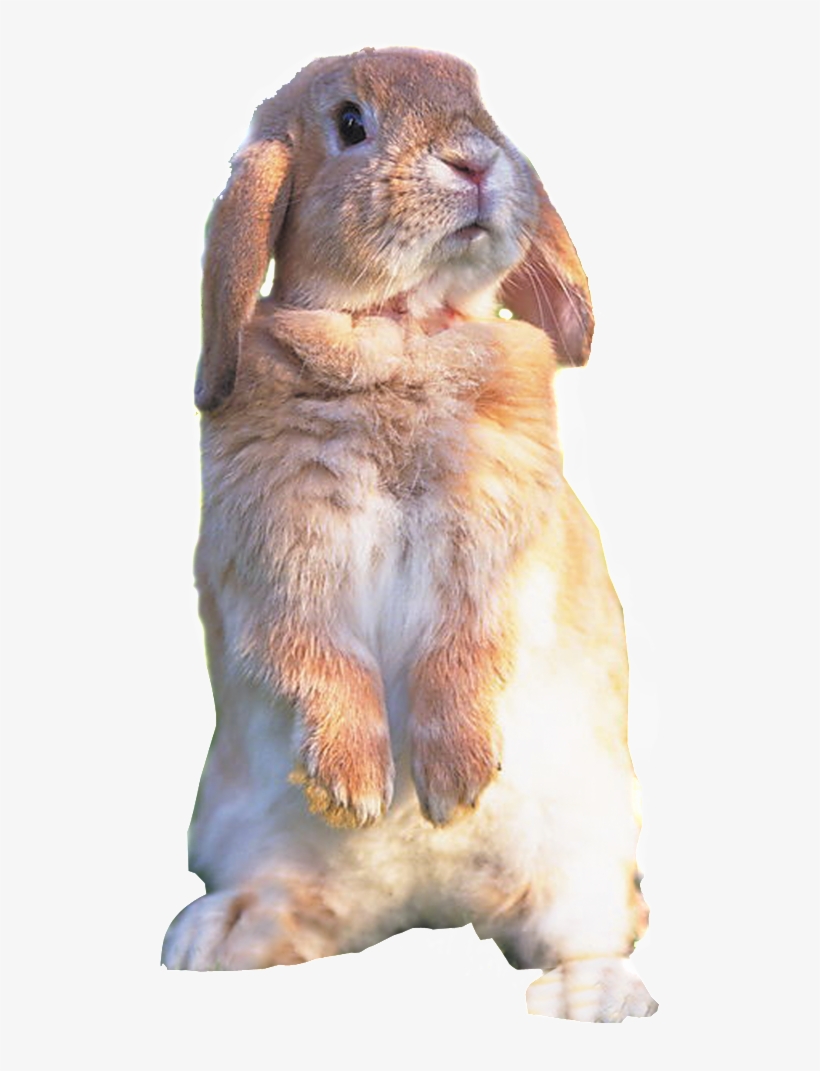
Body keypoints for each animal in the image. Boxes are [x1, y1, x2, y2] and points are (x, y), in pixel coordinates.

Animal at [161, 46, 658, 1022]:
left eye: (483, 106)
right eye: (351, 124)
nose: (476, 161)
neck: (398, 327)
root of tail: (432, 903)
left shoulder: (495, 553)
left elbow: (463, 649)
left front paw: (457, 782)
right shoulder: (278, 561)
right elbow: (319, 655)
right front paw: (355, 786)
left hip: (586, 859)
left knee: (591, 927)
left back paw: (592, 999)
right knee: (297, 907)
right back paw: (214, 935)